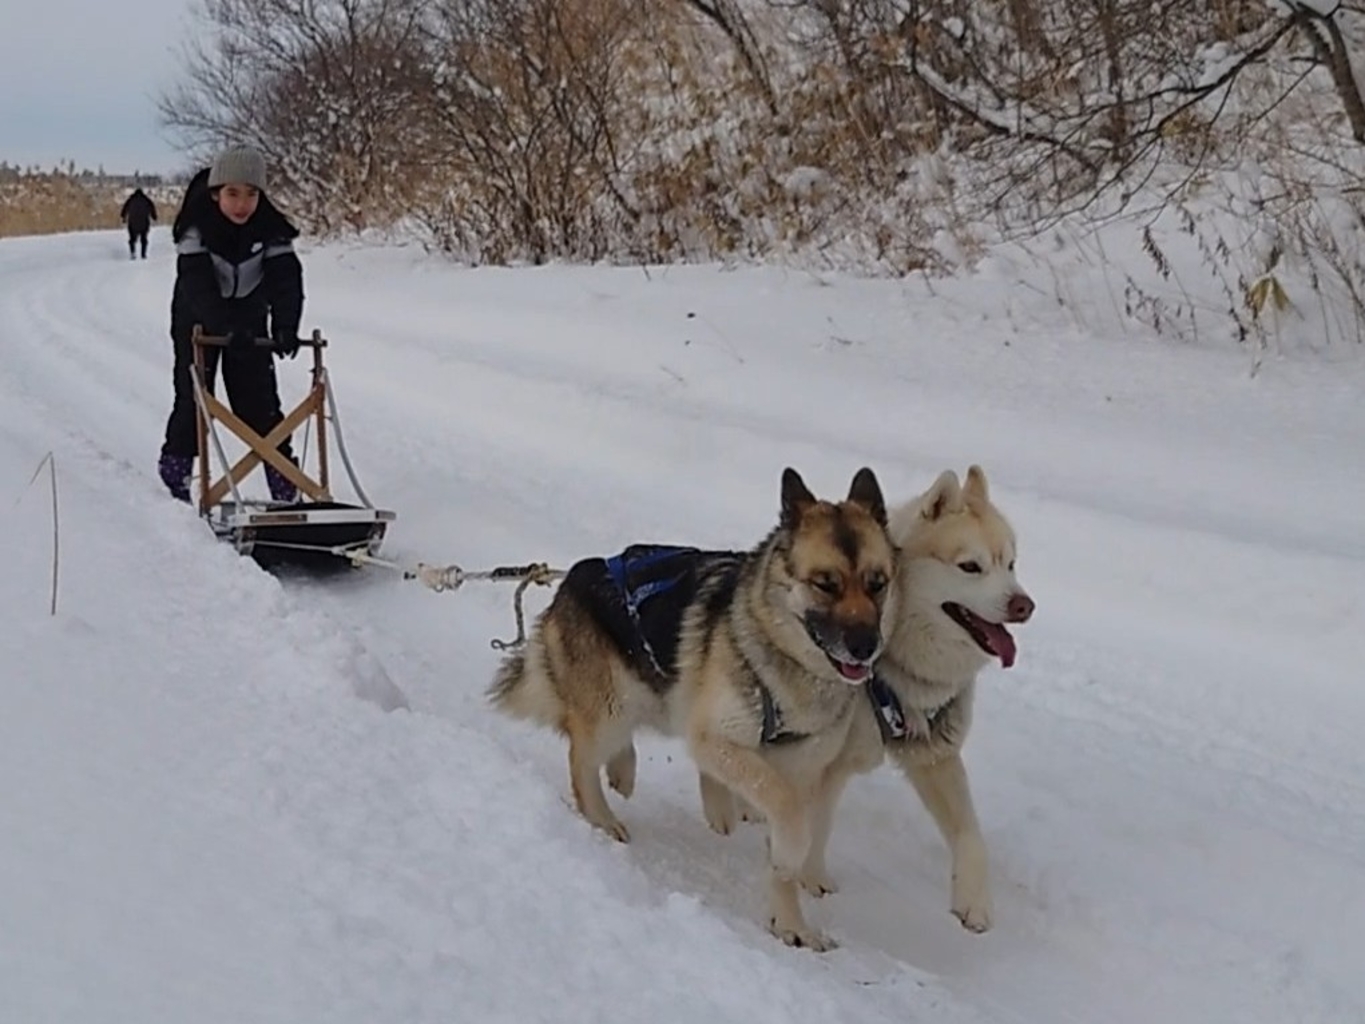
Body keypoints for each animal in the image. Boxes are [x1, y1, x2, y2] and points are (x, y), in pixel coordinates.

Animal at [488, 469, 895, 950]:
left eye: (877, 582)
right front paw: (789, 851)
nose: (866, 646)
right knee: (581, 757)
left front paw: (792, 923)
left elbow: (784, 830)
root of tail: (574, 575)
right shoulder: (715, 740)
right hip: (614, 706)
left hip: (658, 692)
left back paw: (627, 771)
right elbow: (786, 810)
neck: (787, 665)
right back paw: (602, 818)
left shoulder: (798, 766)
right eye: (826, 583)